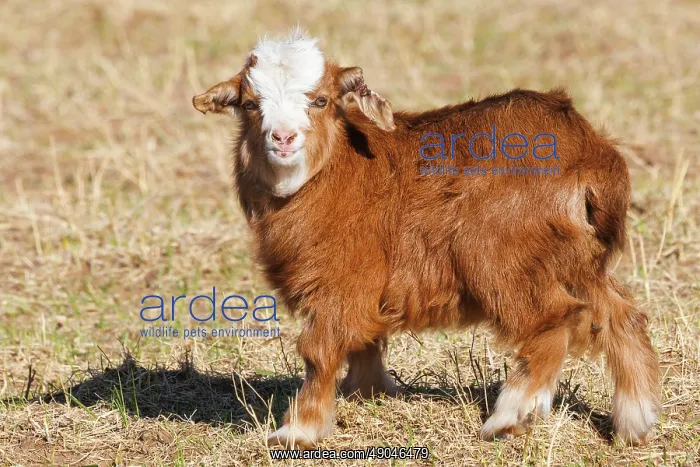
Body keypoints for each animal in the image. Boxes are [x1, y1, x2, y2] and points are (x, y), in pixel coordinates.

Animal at [193, 31, 660, 448]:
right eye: (249, 104)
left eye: (321, 100)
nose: (284, 138)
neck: (332, 171)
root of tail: (588, 149)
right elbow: (365, 340)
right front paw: (369, 393)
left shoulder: (339, 279)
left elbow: (320, 349)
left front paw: (299, 430)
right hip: (576, 259)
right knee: (623, 317)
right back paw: (634, 423)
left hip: (502, 259)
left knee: (555, 319)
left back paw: (508, 417)